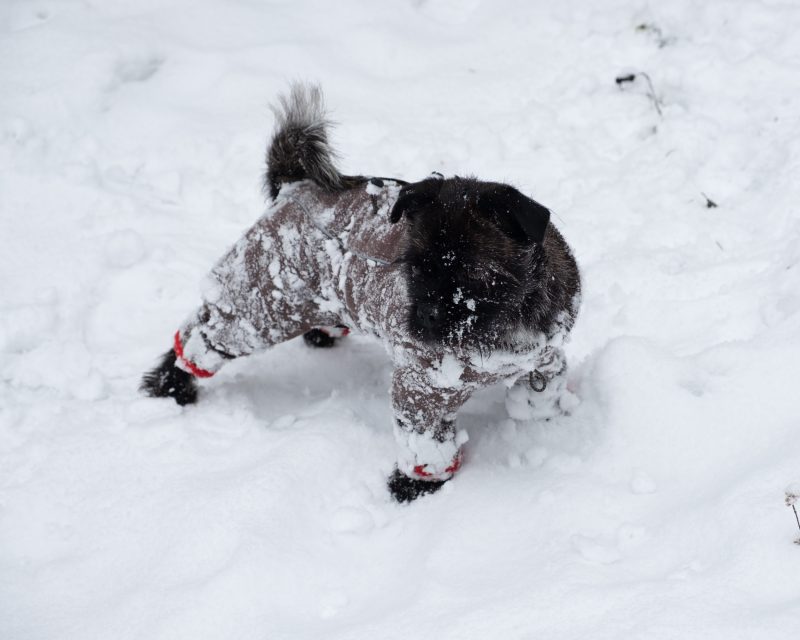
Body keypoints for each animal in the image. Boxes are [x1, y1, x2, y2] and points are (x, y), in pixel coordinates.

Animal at [141, 84, 581, 502]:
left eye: (472, 272)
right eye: (415, 267)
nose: (425, 316)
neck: (504, 324)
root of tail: (294, 186)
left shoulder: (543, 363)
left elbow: (541, 395)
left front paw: (545, 422)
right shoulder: (423, 392)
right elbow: (426, 447)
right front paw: (414, 489)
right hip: (259, 306)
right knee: (202, 337)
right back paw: (171, 386)